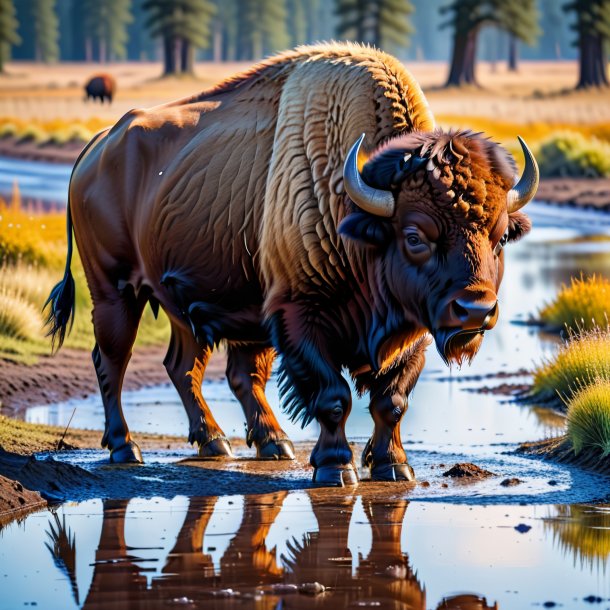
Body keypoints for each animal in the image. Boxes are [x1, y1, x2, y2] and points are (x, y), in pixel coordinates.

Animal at [45, 44, 536, 484]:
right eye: (415, 236)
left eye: (500, 237)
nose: (475, 310)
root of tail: (97, 147)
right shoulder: (300, 315)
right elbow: (333, 396)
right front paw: (335, 468)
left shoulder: (410, 329)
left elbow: (391, 400)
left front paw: (393, 466)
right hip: (114, 291)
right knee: (112, 360)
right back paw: (126, 448)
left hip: (193, 305)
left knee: (190, 368)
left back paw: (243, 443)